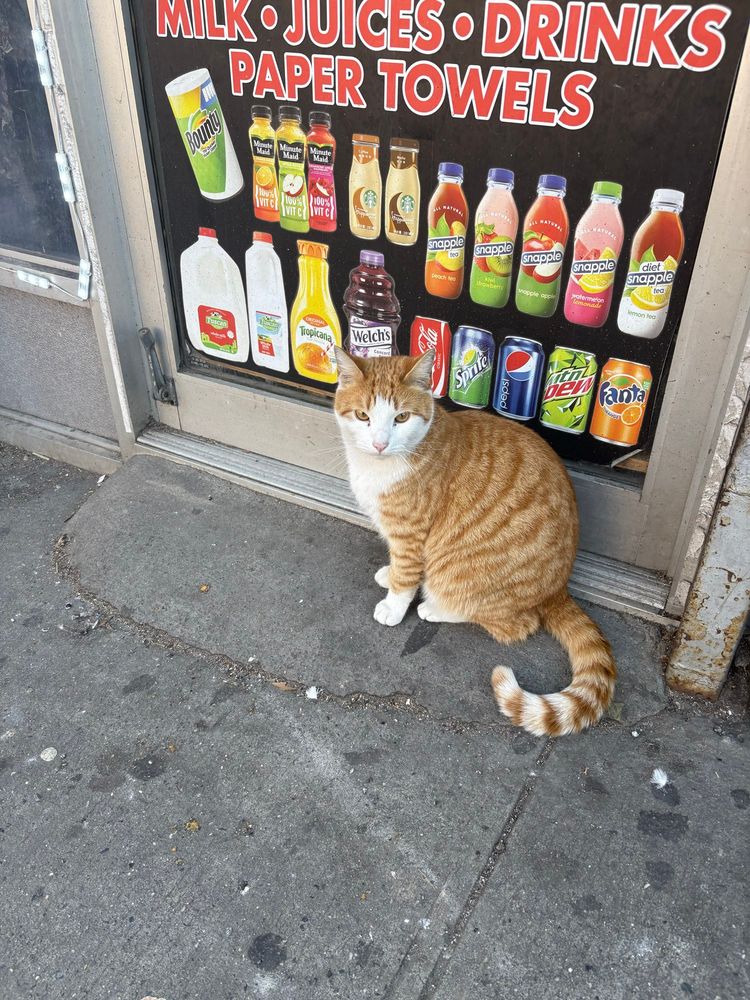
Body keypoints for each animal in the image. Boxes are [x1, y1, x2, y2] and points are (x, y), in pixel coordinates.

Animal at [334, 348, 616, 740]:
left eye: (401, 417)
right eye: (363, 416)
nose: (379, 443)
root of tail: (558, 589)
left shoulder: (410, 534)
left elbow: (407, 576)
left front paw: (394, 604)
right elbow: (401, 568)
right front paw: (389, 576)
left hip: (464, 575)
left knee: (514, 624)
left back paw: (434, 608)